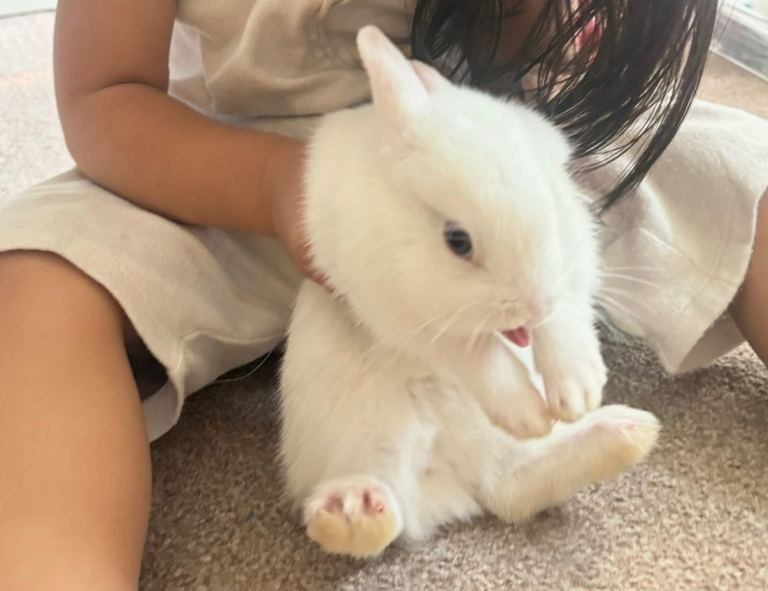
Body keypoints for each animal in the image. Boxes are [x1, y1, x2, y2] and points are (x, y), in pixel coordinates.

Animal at [279, 26, 659, 559]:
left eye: (548, 204)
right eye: (457, 241)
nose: (533, 303)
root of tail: (452, 479)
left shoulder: (573, 263)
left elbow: (566, 315)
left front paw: (579, 390)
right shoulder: (395, 310)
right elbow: (472, 354)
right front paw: (526, 408)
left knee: (510, 485)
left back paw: (623, 431)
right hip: (357, 432)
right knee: (390, 501)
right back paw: (355, 512)